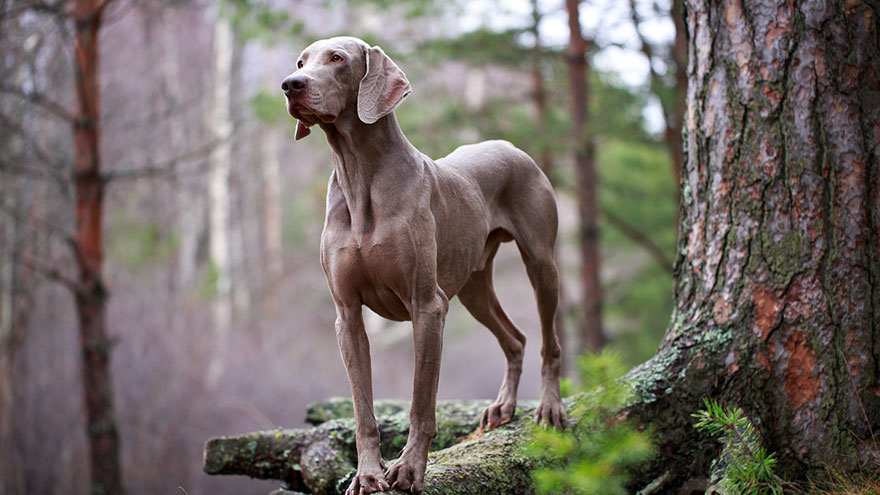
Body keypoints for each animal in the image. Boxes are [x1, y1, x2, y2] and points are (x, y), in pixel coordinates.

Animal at [286, 36, 568, 494]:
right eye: (300, 62)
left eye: (337, 58)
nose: (290, 85)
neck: (360, 176)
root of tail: (509, 145)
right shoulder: (347, 316)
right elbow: (363, 409)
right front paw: (367, 475)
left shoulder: (427, 306)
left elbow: (422, 403)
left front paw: (409, 469)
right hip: (473, 287)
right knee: (516, 338)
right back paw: (503, 406)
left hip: (541, 264)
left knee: (548, 341)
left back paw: (549, 407)